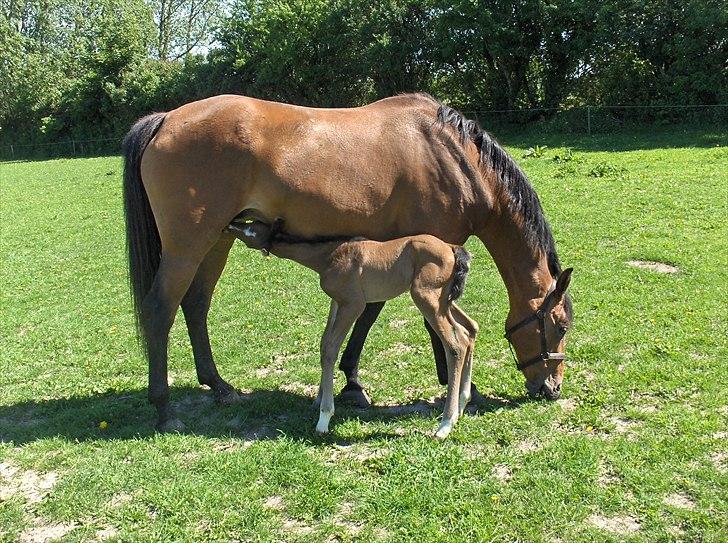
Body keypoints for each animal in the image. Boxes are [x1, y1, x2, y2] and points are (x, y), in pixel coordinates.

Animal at [228, 219, 478, 440]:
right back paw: (461, 405)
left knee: (454, 345)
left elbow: (331, 348)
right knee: (468, 330)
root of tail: (452, 248)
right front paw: (318, 400)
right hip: (444, 301)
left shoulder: (353, 305)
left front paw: (324, 418)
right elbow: (324, 344)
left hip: (426, 298)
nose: (231, 224)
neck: (327, 256)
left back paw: (445, 424)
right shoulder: (337, 302)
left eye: (252, 227)